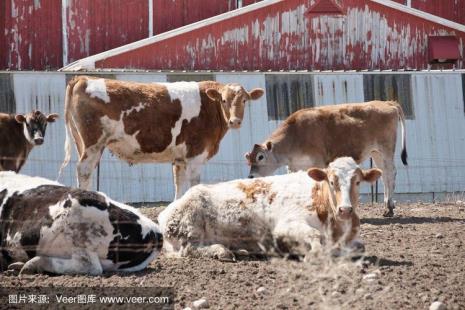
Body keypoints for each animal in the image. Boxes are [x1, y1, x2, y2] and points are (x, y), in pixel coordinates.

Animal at [60, 76, 264, 200]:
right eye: (224, 100)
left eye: (244, 100)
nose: (235, 121)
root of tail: (83, 78)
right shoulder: (195, 155)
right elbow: (194, 185)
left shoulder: (180, 159)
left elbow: (179, 187)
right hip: (93, 144)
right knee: (84, 170)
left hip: (83, 144)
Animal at [158, 156, 382, 260]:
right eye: (332, 181)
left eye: (358, 181)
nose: (345, 210)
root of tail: (164, 214)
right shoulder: (286, 226)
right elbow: (315, 237)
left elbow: (360, 247)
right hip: (191, 225)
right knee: (190, 249)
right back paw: (221, 251)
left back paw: (240, 250)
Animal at [245, 100, 408, 217]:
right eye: (248, 159)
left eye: (260, 157)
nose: (251, 176)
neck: (295, 136)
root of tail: (387, 103)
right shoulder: (294, 167)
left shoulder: (317, 162)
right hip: (376, 152)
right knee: (384, 174)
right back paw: (387, 206)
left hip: (386, 149)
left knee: (390, 173)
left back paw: (389, 208)